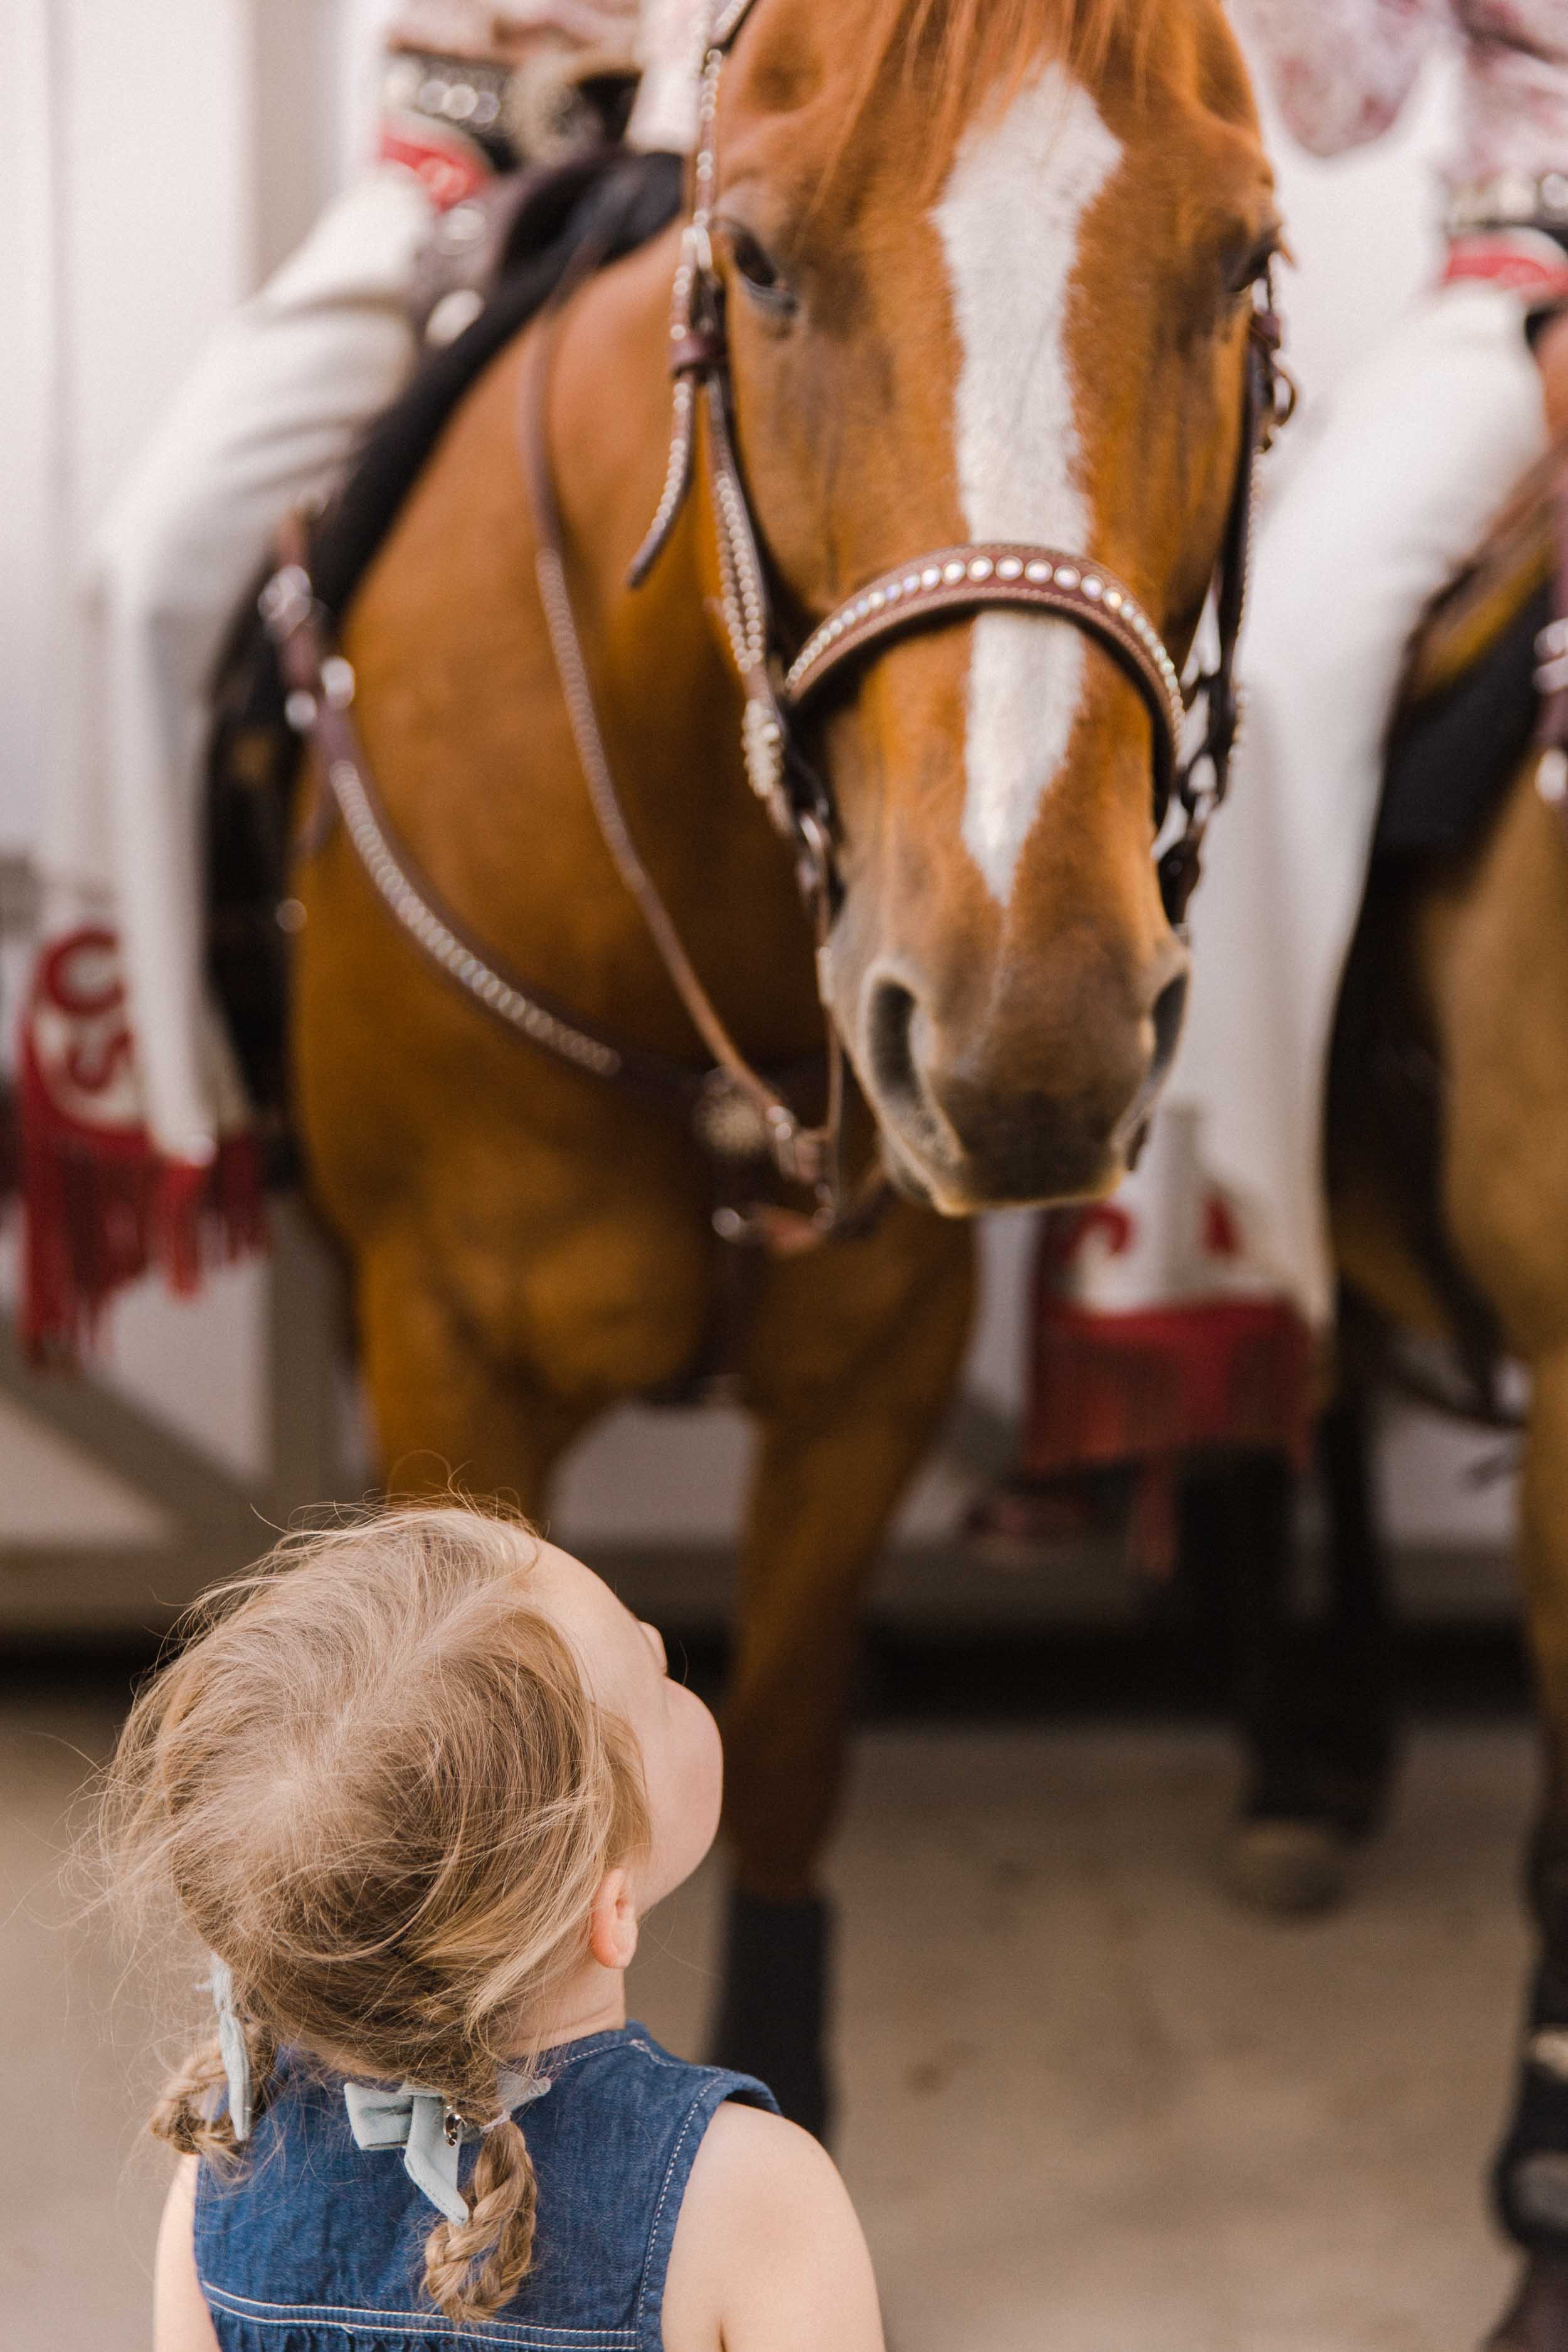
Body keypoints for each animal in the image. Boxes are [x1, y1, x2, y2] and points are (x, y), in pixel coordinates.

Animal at [288, 0, 1278, 2136]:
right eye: (752, 262)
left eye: (1237, 259)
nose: (1025, 1019)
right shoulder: (450, 1354)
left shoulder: (876, 1361)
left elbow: (793, 1725)